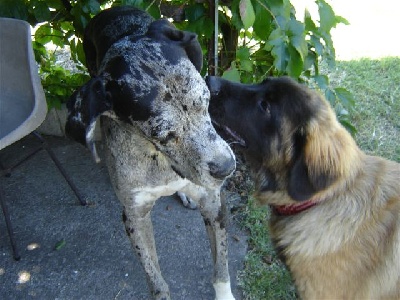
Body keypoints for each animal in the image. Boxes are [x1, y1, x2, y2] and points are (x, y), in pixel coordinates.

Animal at [64, 5, 236, 300]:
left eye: (205, 101)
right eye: (163, 134)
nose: (226, 168)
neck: (159, 161)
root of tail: (113, 9)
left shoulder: (214, 203)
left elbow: (222, 266)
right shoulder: (135, 217)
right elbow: (155, 278)